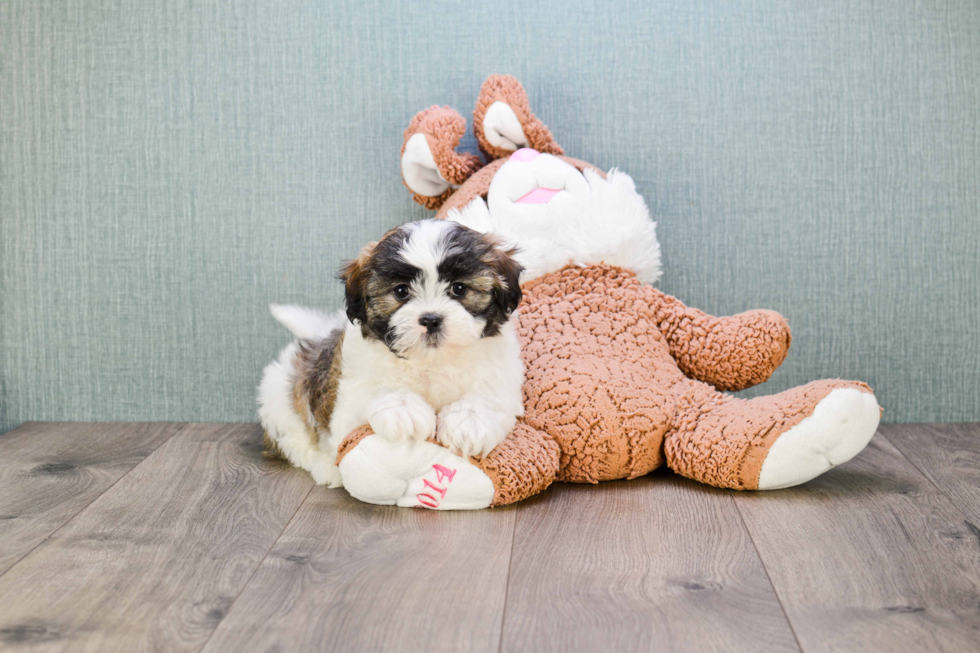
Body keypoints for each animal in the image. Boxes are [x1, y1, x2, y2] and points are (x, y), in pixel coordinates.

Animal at [256, 219, 524, 484]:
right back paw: (325, 468)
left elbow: (488, 396)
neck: (432, 360)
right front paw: (403, 409)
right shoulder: (350, 395)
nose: (431, 319)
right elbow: (376, 390)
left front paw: (468, 423)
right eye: (401, 291)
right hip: (281, 402)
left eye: (459, 289)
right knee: (296, 441)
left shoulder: (501, 377)